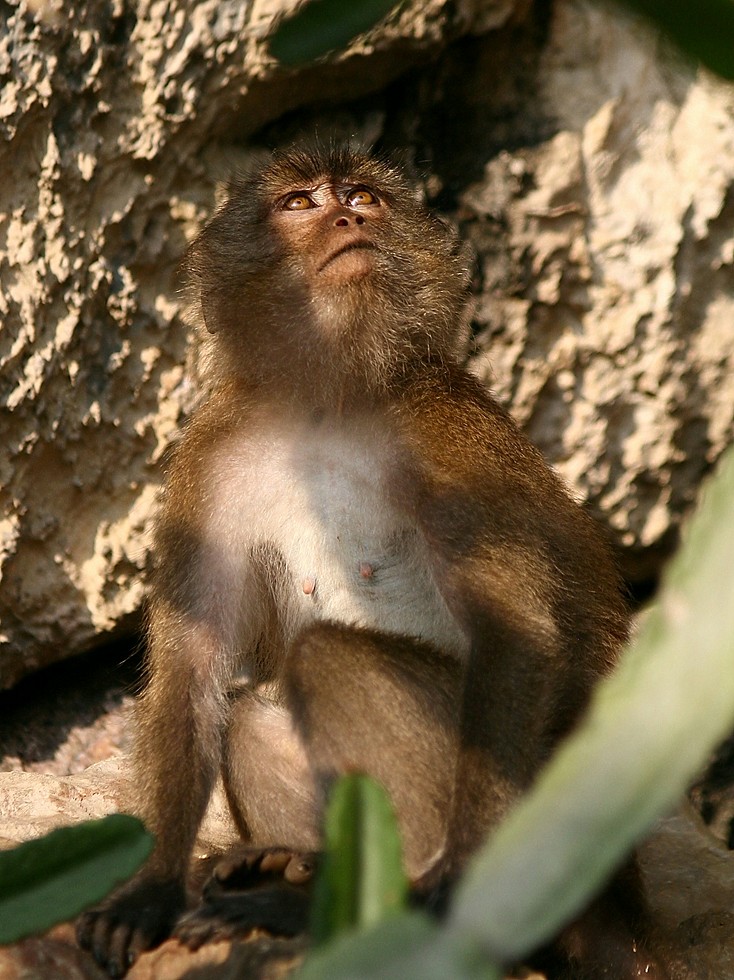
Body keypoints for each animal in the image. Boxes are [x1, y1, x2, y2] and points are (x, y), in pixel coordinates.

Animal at [76, 142, 672, 976]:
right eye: (300, 203)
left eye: (362, 196)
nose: (348, 221)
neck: (323, 400)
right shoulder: (208, 460)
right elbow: (193, 663)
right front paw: (150, 889)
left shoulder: (445, 432)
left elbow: (515, 628)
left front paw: (453, 885)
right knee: (252, 708)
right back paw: (293, 865)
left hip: (544, 811)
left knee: (332, 657)